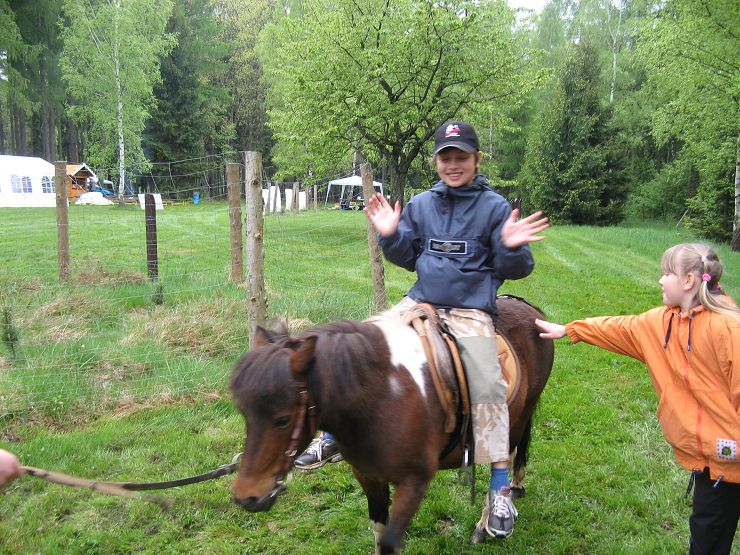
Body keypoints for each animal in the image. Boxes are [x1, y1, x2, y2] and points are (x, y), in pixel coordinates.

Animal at [230, 296, 554, 554]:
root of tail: (529, 308)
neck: (383, 396)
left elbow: (389, 542)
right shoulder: (368, 476)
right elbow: (378, 531)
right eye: (244, 412)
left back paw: (488, 522)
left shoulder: (414, 482)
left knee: (504, 457)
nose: (248, 497)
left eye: (283, 419)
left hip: (516, 417)